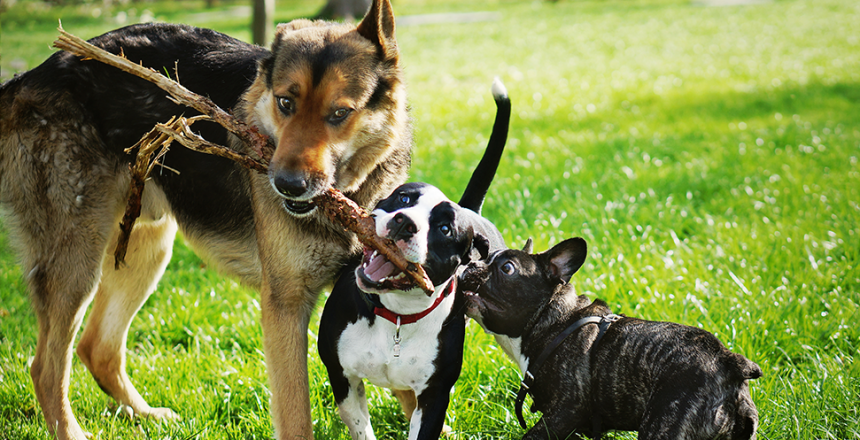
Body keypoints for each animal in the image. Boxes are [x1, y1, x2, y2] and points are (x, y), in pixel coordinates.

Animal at [0, 1, 410, 438]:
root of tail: (30, 76)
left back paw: (144, 415)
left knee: (98, 347)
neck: (350, 198)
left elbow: (412, 394)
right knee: (46, 368)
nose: (286, 185)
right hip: (78, 262)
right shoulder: (285, 307)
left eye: (340, 113)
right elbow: (296, 417)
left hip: (146, 248)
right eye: (285, 103)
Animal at [318, 81, 510, 438]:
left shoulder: (434, 397)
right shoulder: (343, 379)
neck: (396, 315)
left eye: (445, 229)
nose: (405, 222)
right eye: (404, 198)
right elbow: (361, 428)